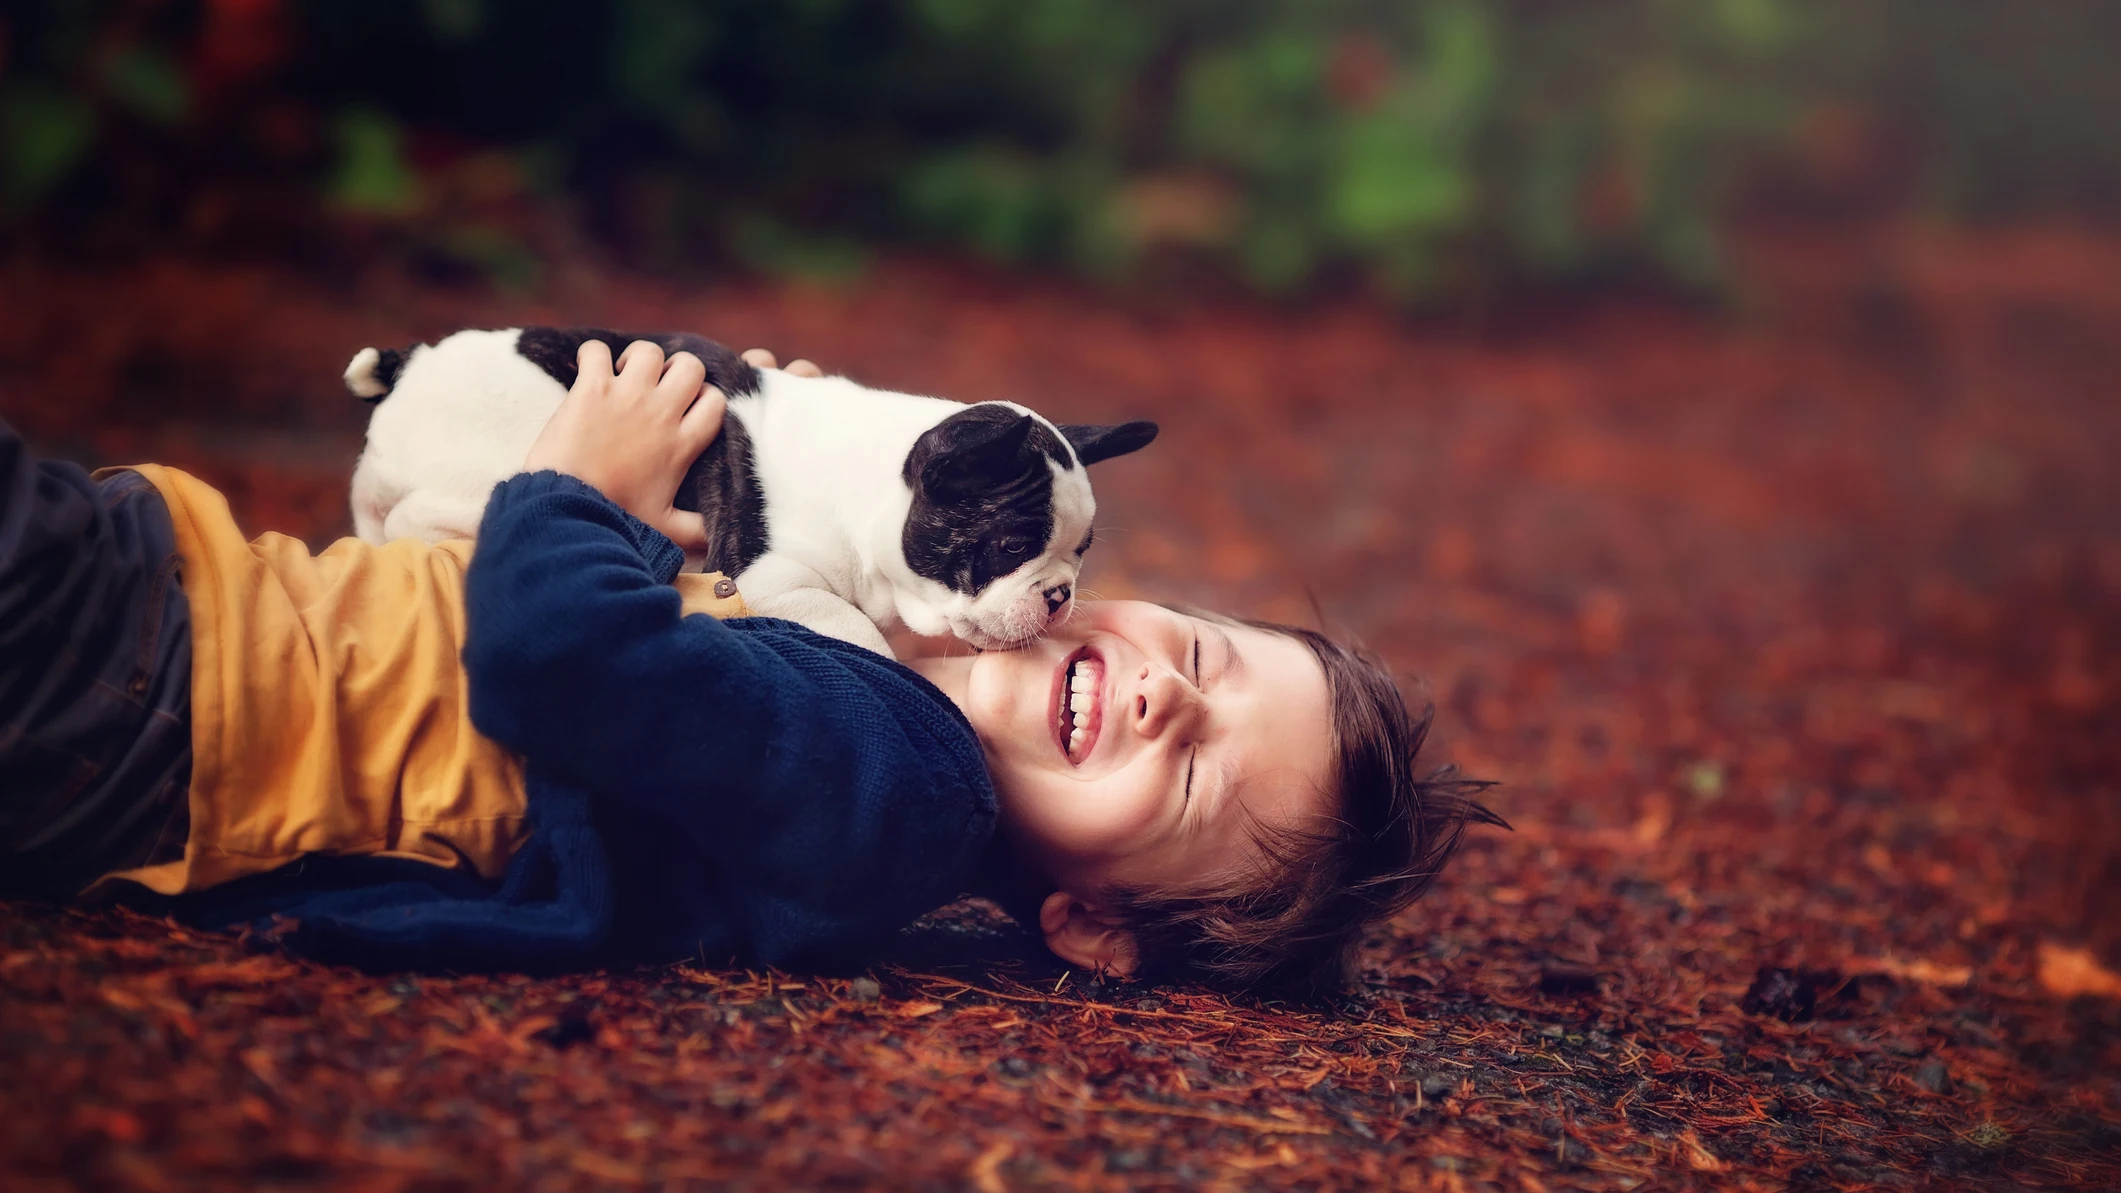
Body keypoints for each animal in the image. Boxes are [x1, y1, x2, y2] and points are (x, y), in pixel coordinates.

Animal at [343, 324, 1162, 649]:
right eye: (1011, 544)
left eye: (1081, 553)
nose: (1059, 595)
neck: (869, 488)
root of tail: (413, 362)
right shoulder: (771, 576)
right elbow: (857, 632)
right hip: (486, 457)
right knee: (414, 514)